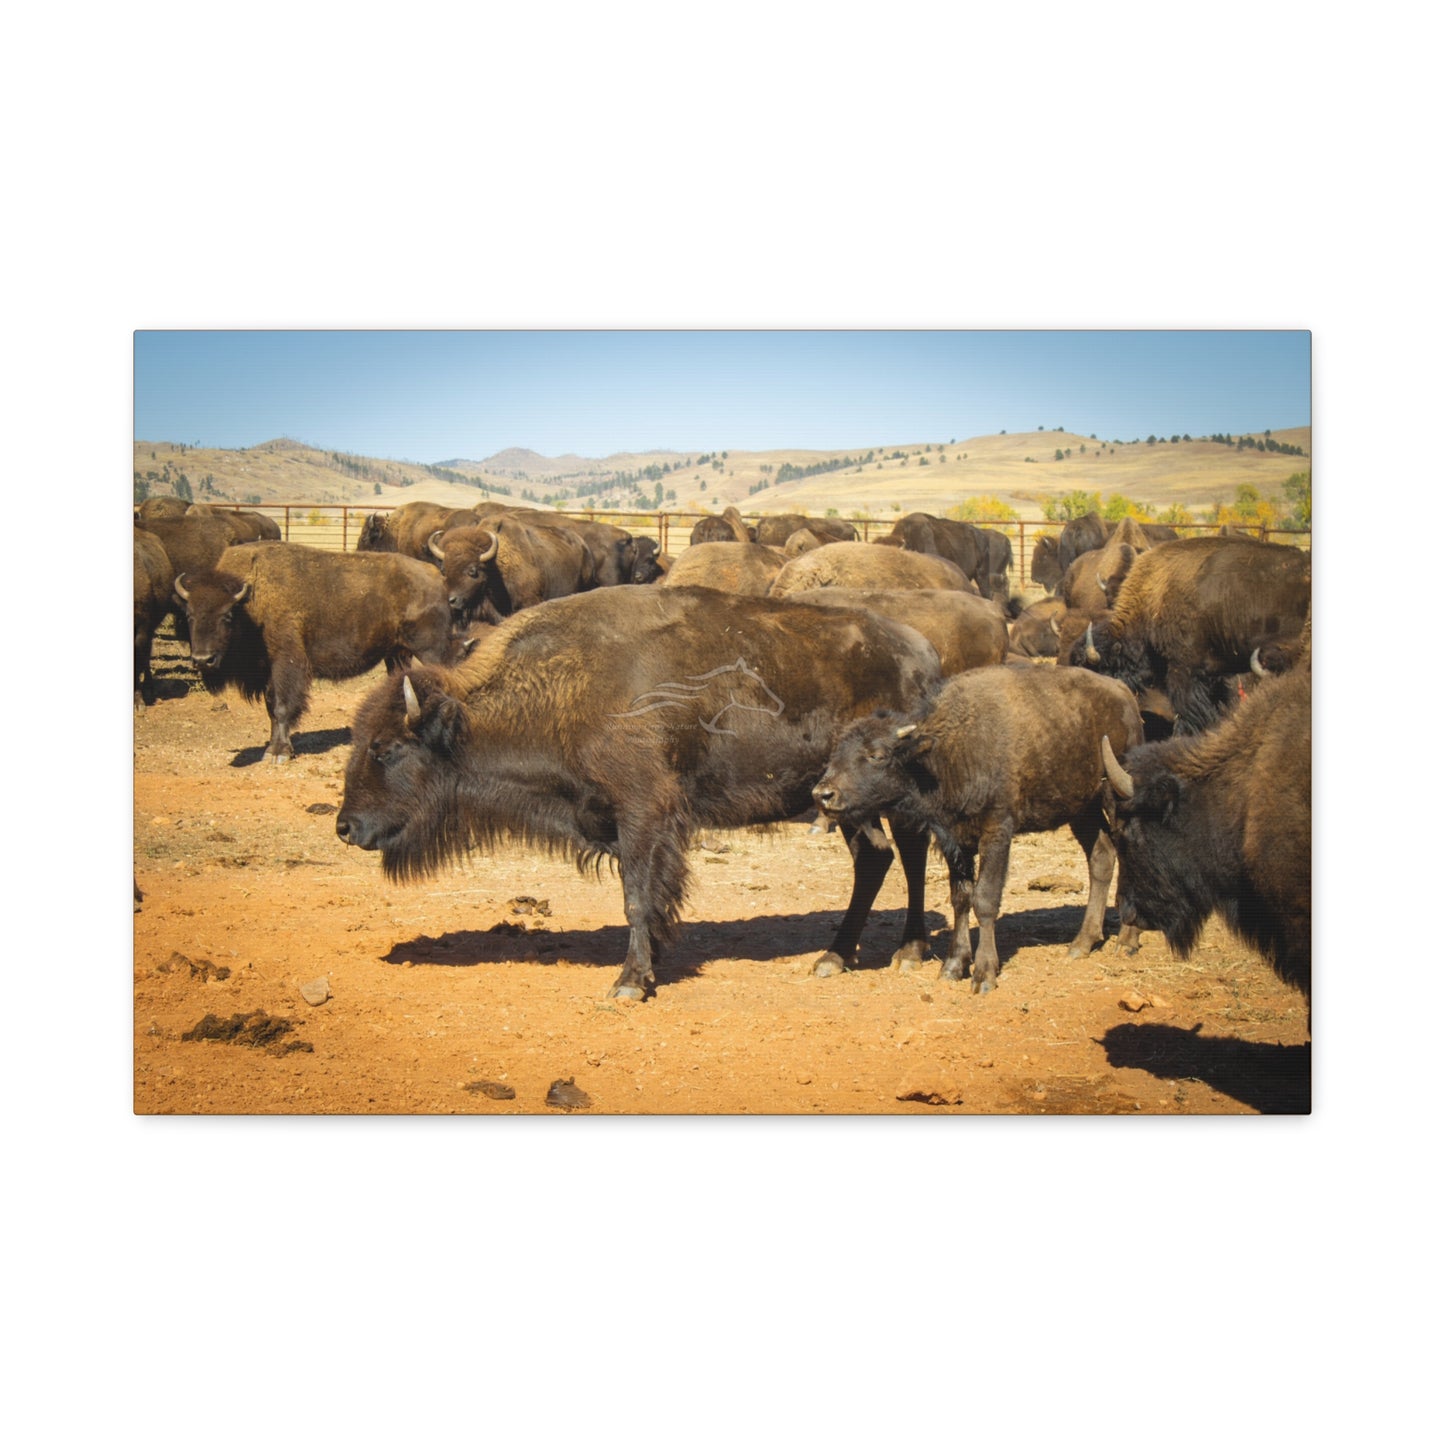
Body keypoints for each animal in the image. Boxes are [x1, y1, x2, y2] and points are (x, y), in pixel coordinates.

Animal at [173, 542, 466, 761]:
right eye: (189, 615)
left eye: (227, 615)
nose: (203, 660)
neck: (251, 598)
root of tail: (436, 576)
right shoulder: (267, 671)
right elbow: (270, 708)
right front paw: (272, 748)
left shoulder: (286, 662)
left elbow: (281, 707)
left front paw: (279, 753)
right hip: (397, 654)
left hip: (431, 649)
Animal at [335, 586, 944, 1000]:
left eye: (385, 748)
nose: (345, 827)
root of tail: (924, 653)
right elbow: (647, 899)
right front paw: (650, 964)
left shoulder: (643, 813)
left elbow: (636, 897)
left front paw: (629, 982)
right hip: (846, 803)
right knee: (877, 857)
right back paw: (837, 957)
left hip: (888, 798)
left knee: (908, 855)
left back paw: (905, 952)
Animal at [812, 667, 1144, 993]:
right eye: (835, 754)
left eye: (877, 755)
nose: (823, 794)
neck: (948, 750)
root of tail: (1123, 693)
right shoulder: (954, 840)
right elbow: (961, 897)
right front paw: (953, 966)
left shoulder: (996, 832)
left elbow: (985, 898)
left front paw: (984, 974)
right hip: (1082, 809)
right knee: (1101, 856)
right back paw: (1081, 944)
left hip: (1115, 796)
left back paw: (1127, 940)